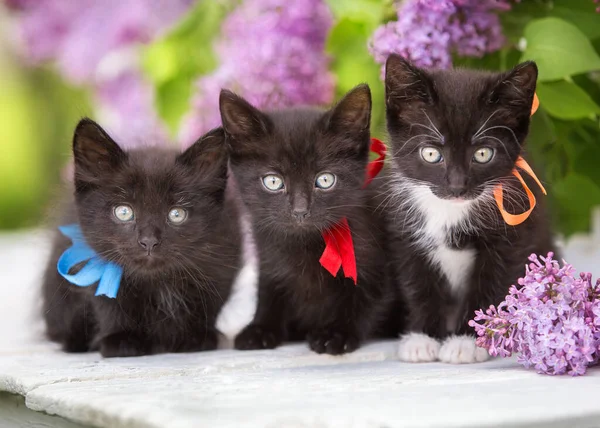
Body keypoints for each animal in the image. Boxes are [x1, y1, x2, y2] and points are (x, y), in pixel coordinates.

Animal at [41, 118, 246, 356]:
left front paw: (195, 337)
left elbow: (210, 303)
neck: (157, 282)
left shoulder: (223, 258)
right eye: (123, 212)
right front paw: (122, 340)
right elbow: (108, 303)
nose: (149, 241)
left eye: (176, 214)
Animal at [219, 83, 394, 354]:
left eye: (324, 180)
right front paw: (261, 328)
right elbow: (271, 288)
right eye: (273, 182)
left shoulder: (374, 257)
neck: (305, 242)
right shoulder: (268, 253)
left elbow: (366, 296)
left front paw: (337, 333)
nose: (300, 210)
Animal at [382, 55, 556, 364]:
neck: (449, 212)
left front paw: (468, 342)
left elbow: (491, 283)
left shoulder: (513, 236)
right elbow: (417, 283)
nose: (457, 187)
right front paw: (421, 338)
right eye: (431, 154)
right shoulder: (403, 233)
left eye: (483, 154)